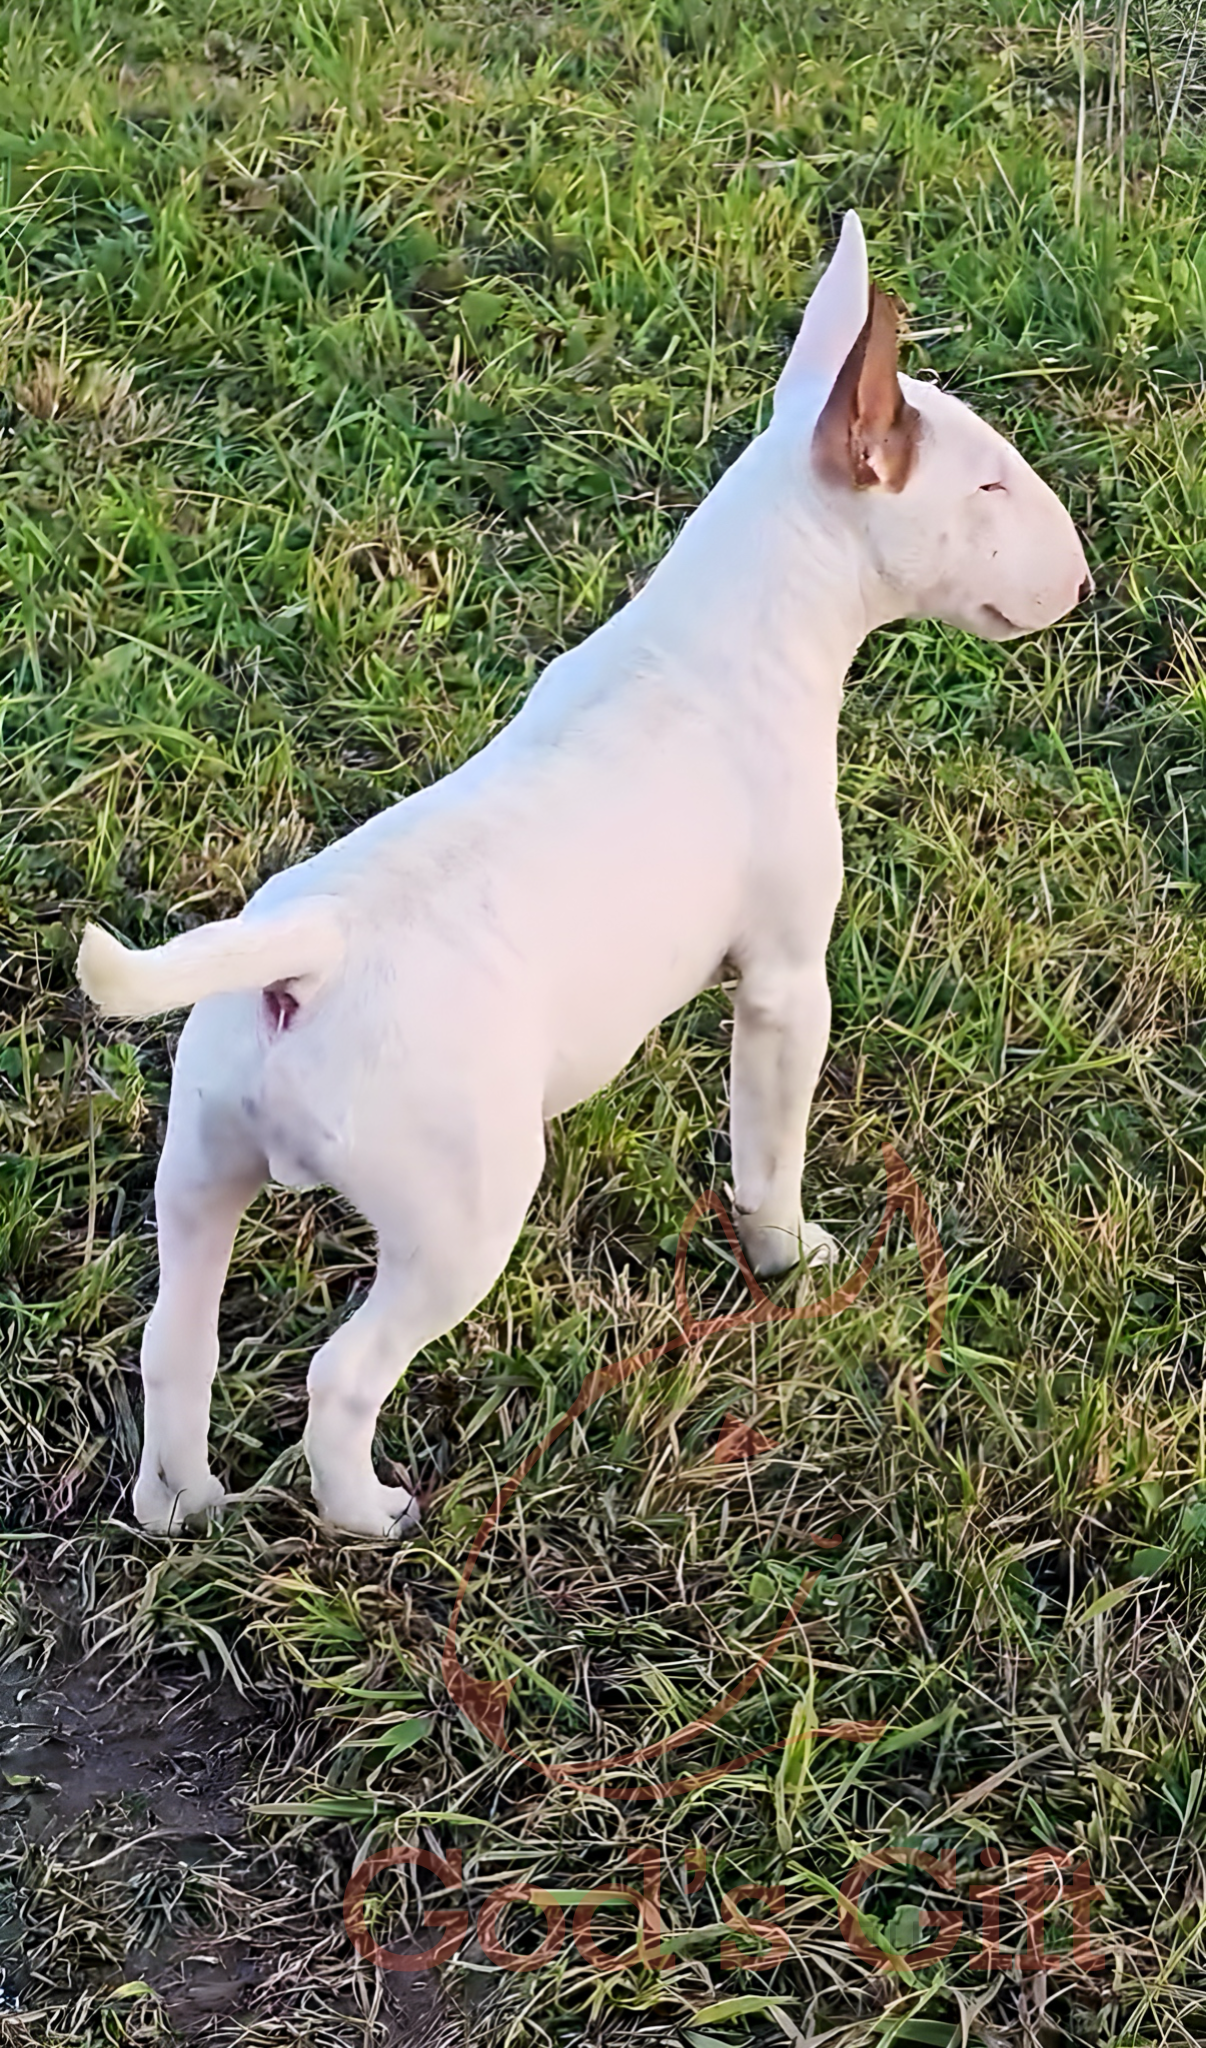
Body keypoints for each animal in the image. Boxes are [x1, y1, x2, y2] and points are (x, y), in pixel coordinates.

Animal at [78, 212, 1092, 1538]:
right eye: (989, 485)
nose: (1084, 579)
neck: (734, 623)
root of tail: (312, 955)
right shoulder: (785, 979)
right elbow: (768, 1144)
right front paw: (789, 1258)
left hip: (200, 1162)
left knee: (174, 1339)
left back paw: (183, 1502)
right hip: (459, 1215)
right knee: (341, 1375)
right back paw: (371, 1512)